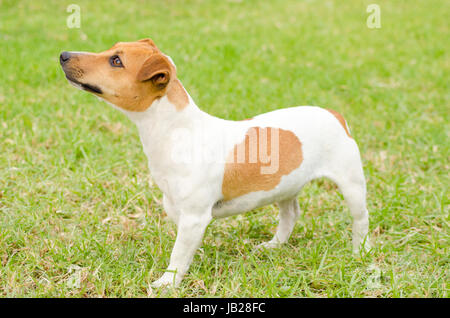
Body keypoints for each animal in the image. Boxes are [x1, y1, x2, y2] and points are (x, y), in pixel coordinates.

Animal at [59, 39, 370, 288]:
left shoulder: (195, 215)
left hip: (352, 184)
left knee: (360, 218)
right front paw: (189, 264)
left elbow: (177, 253)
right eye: (111, 50)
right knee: (290, 214)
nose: (63, 54)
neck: (175, 130)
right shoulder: (178, 209)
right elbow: (184, 248)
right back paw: (274, 245)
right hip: (285, 185)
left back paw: (360, 252)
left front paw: (167, 282)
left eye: (116, 61)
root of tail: (334, 114)